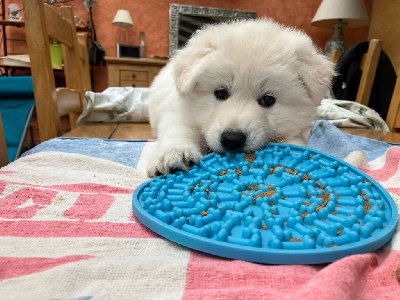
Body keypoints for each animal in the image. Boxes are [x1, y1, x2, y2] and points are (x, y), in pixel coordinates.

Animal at [147, 18, 334, 177]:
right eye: (221, 92)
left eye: (268, 99)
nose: (232, 139)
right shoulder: (178, 112)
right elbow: (178, 130)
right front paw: (174, 155)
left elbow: (294, 140)